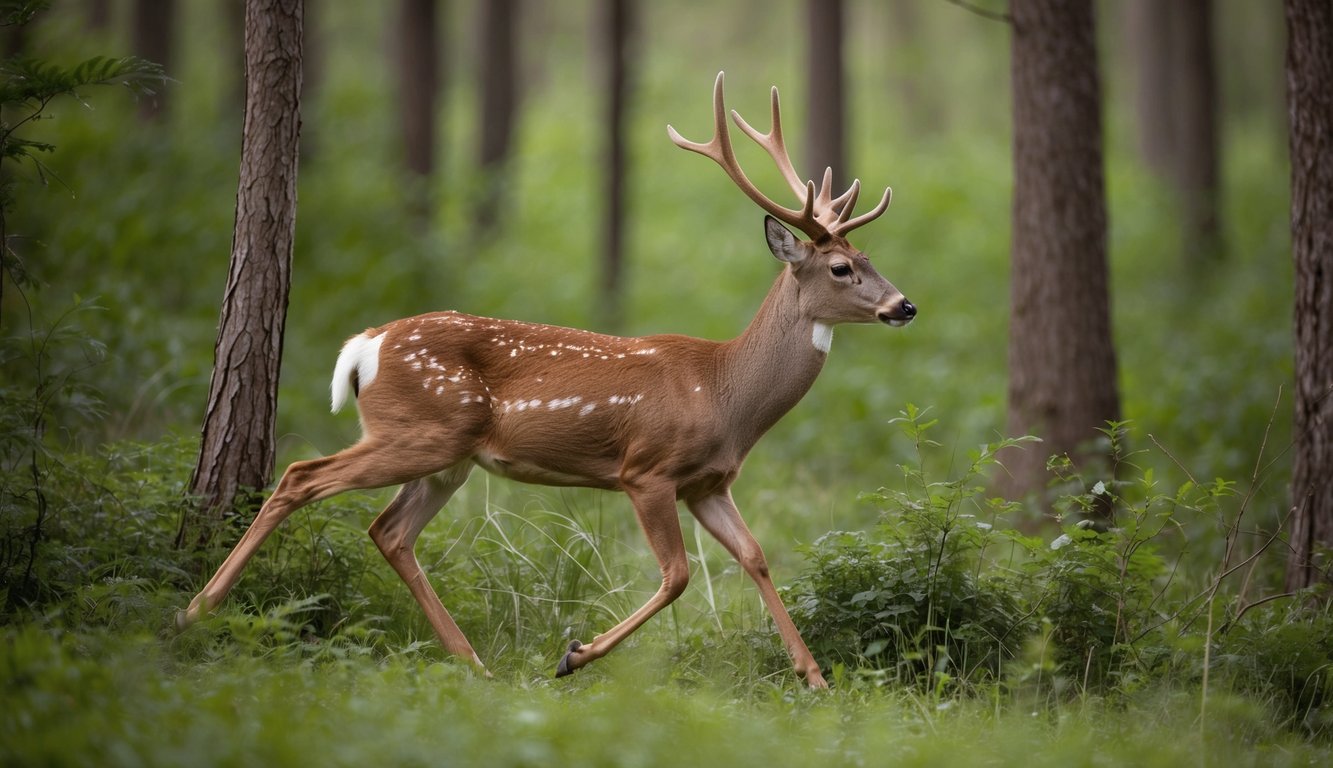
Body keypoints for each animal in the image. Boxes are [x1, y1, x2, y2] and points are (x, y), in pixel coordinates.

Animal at [176, 72, 915, 689]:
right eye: (842, 268)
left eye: (872, 257)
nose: (903, 305)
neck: (725, 393)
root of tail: (365, 346)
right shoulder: (647, 469)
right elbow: (676, 575)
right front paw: (573, 655)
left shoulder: (709, 482)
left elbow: (756, 556)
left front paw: (814, 678)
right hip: (419, 429)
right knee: (301, 475)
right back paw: (196, 611)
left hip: (446, 454)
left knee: (388, 531)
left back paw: (470, 660)